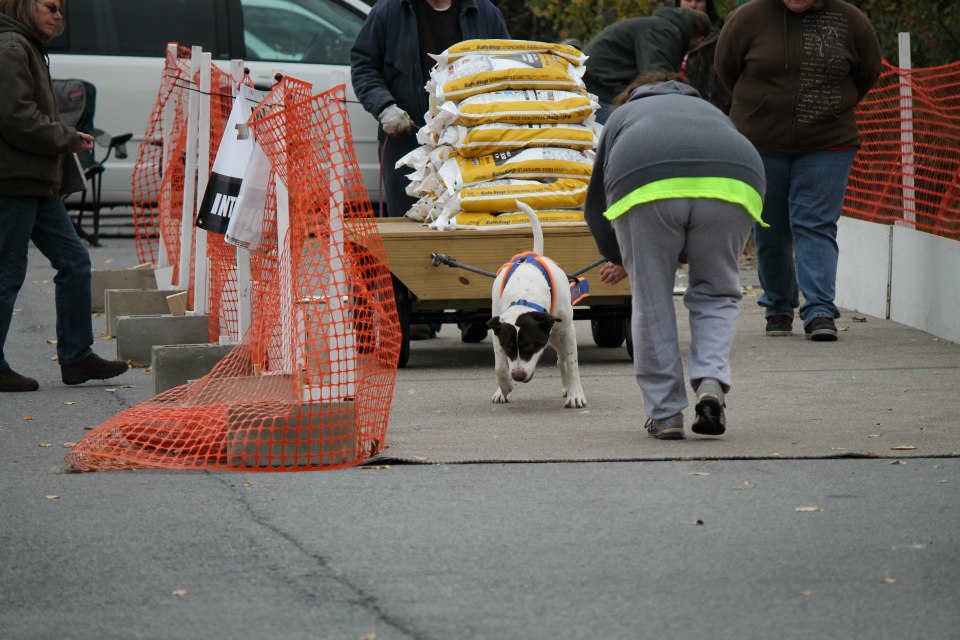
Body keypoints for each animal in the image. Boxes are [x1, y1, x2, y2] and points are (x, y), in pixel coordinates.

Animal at [488, 202, 584, 408]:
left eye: (530, 345)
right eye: (508, 347)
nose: (517, 375)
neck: (524, 292)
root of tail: (534, 253)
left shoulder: (567, 330)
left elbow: (572, 363)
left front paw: (576, 395)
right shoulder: (497, 330)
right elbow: (500, 365)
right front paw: (504, 387)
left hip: (557, 332)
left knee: (563, 360)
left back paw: (568, 389)